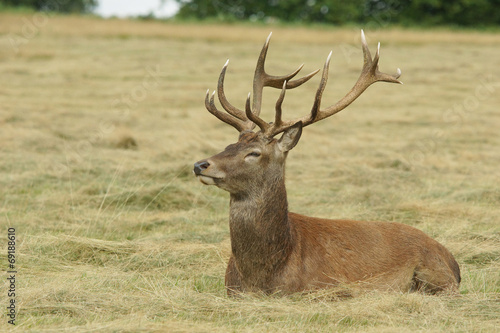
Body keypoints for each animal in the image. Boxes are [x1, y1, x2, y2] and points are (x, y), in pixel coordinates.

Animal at [193, 31, 458, 296]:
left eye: (254, 153)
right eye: (229, 145)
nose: (200, 165)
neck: (262, 276)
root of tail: (453, 260)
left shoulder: (327, 288)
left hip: (436, 274)